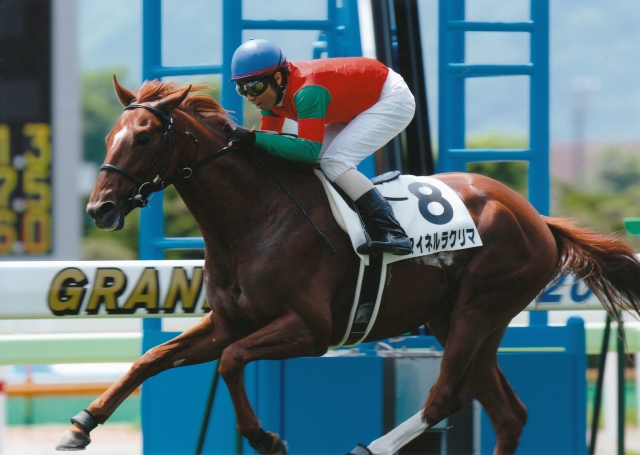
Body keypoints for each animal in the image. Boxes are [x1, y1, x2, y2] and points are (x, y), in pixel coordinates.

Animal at [56, 77, 640, 455]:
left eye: (144, 137)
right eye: (108, 137)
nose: (99, 209)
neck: (252, 221)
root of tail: (538, 218)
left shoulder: (311, 329)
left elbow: (231, 362)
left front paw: (266, 437)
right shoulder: (229, 321)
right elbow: (151, 358)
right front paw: (82, 423)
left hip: (482, 308)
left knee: (445, 397)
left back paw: (374, 448)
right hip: (455, 320)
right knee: (508, 415)